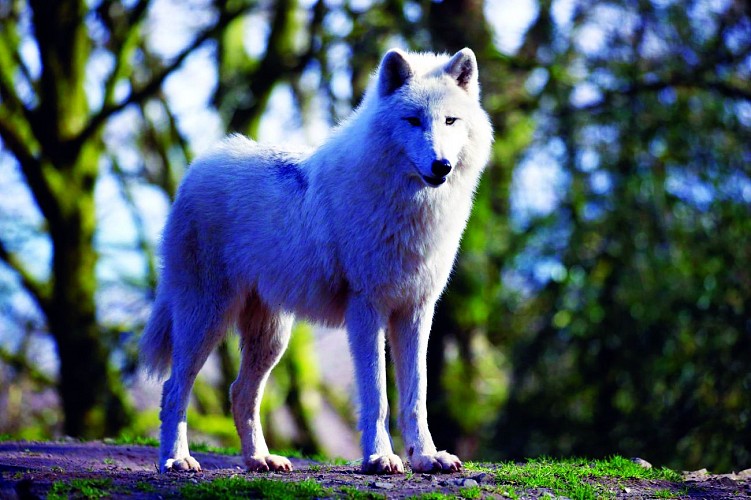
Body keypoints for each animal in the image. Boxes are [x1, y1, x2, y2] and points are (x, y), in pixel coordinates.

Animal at [139, 47, 493, 475]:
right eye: (413, 120)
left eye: (450, 121)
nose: (441, 166)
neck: (410, 208)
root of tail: (197, 168)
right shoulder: (367, 310)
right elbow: (377, 396)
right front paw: (380, 457)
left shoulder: (416, 312)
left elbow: (416, 397)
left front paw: (426, 457)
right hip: (205, 319)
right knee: (174, 388)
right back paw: (175, 459)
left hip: (271, 337)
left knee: (241, 392)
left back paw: (259, 459)